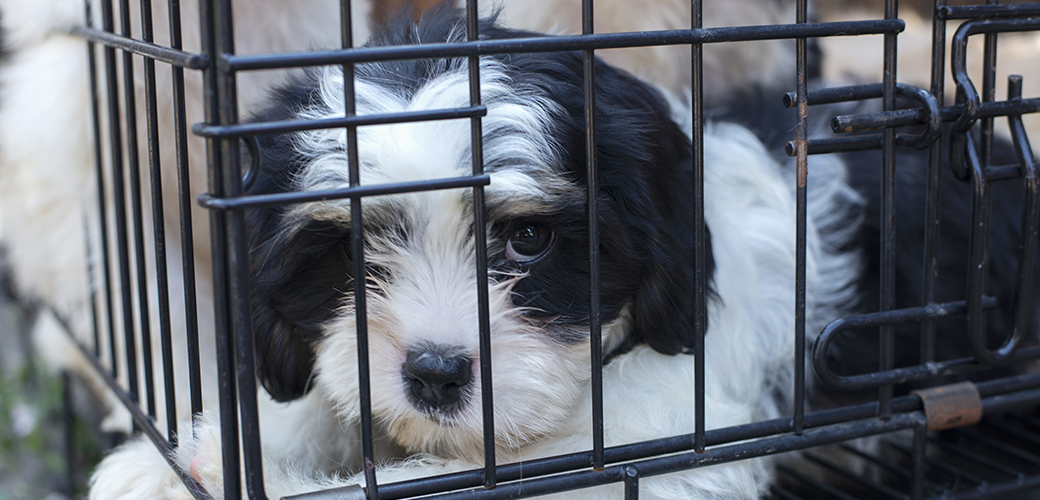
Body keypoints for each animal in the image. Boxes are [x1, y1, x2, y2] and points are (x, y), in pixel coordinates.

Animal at [87, 7, 861, 498]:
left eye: (528, 239)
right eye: (354, 247)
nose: (435, 374)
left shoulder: (678, 438)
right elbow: (335, 393)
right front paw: (180, 464)